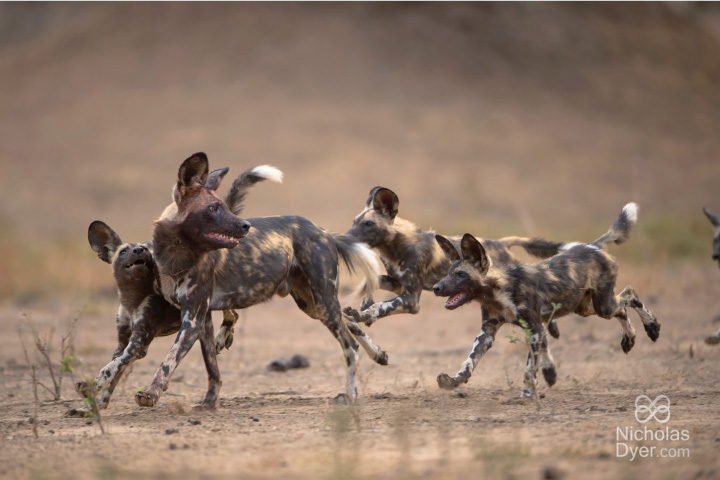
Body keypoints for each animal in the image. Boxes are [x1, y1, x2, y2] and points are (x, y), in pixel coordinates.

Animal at [134, 154, 382, 408]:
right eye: (213, 208)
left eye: (224, 207)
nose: (245, 225)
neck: (176, 256)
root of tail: (324, 232)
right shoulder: (202, 321)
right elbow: (212, 369)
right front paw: (209, 403)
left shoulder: (192, 322)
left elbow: (168, 361)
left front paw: (151, 394)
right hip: (314, 306)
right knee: (349, 321)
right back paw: (378, 354)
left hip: (322, 301)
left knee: (350, 346)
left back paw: (350, 395)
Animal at [344, 186, 568, 340]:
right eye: (354, 223)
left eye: (369, 224)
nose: (345, 238)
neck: (393, 248)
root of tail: (501, 243)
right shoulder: (397, 283)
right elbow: (374, 284)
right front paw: (365, 307)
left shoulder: (410, 299)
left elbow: (381, 305)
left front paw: (366, 313)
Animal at [430, 202, 660, 398]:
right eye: (448, 273)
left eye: (460, 275)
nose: (436, 288)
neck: (497, 291)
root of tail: (593, 246)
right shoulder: (487, 331)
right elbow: (469, 362)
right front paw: (453, 381)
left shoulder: (535, 330)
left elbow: (529, 368)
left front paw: (526, 395)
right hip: (586, 307)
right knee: (623, 306)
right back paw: (630, 340)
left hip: (603, 305)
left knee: (630, 295)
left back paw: (652, 327)